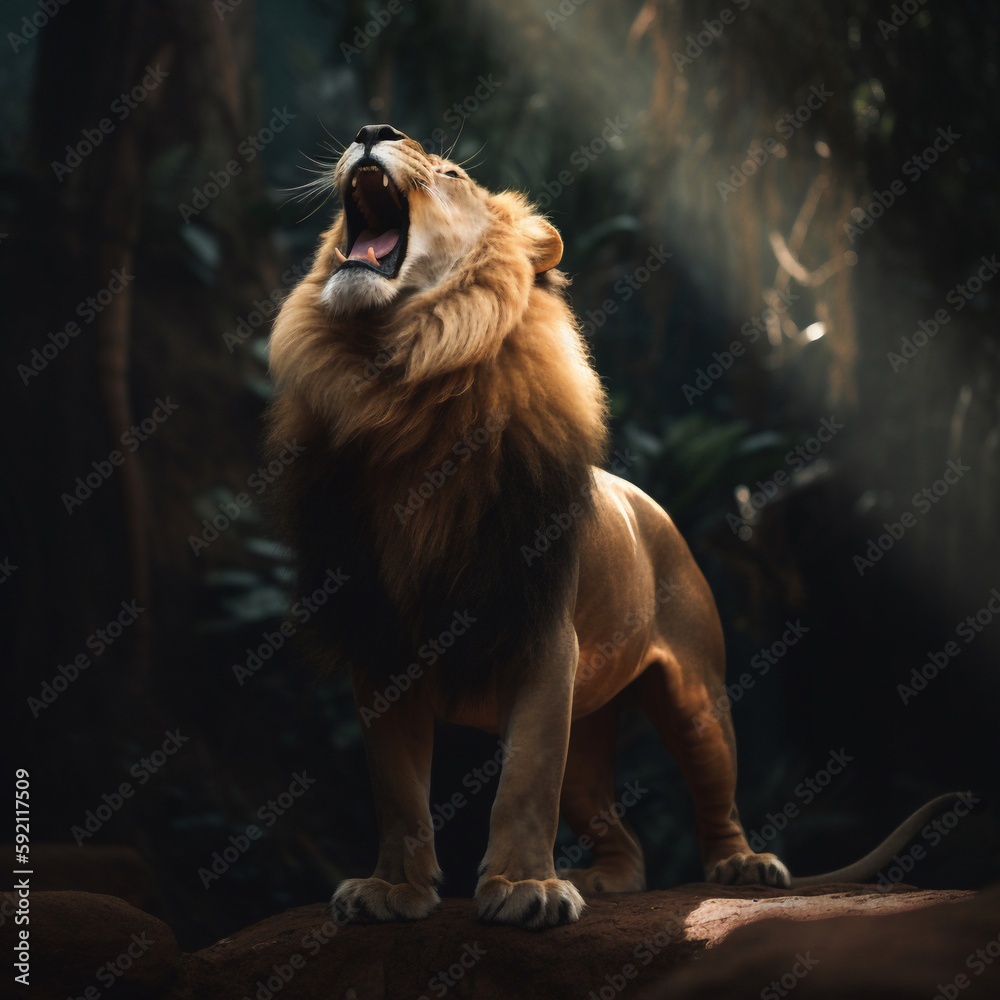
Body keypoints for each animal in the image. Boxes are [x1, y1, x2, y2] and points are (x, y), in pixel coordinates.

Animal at [266, 124, 964, 929]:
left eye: (450, 173)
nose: (371, 132)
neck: (400, 374)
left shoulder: (541, 634)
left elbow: (522, 785)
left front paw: (524, 890)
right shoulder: (380, 641)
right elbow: (399, 790)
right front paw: (394, 891)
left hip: (696, 699)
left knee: (714, 796)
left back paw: (743, 866)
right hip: (587, 724)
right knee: (623, 839)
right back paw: (601, 879)